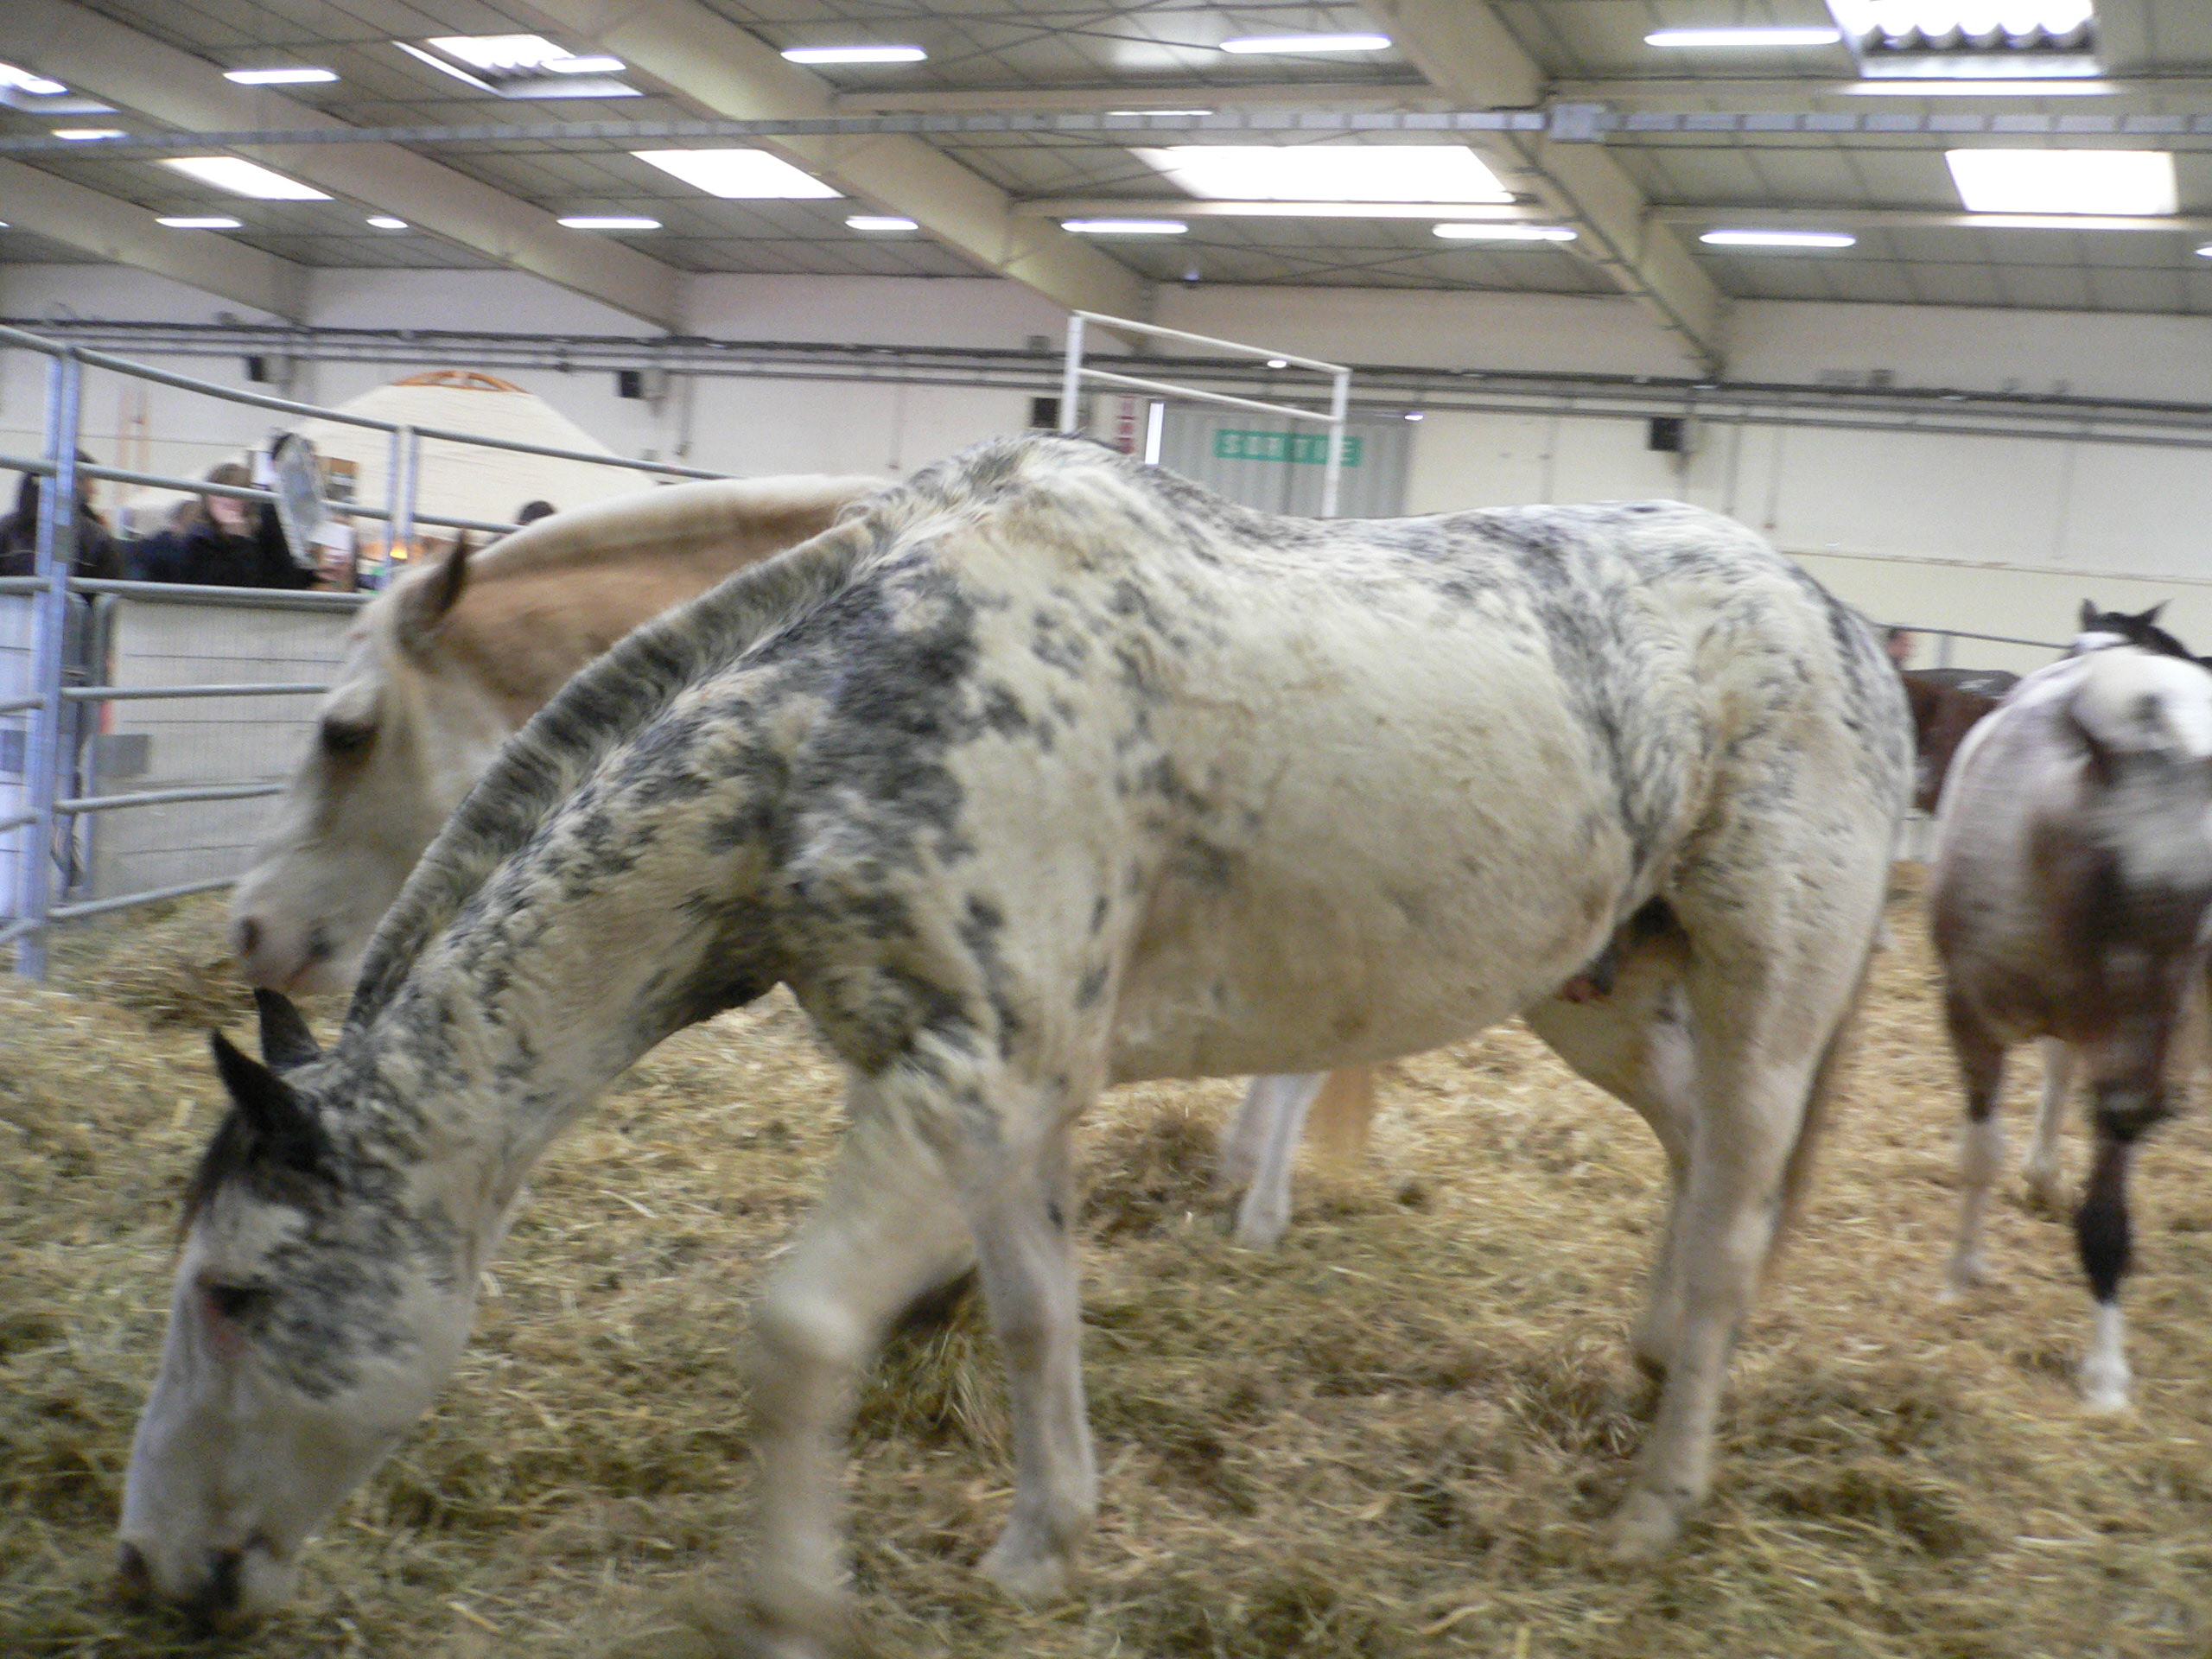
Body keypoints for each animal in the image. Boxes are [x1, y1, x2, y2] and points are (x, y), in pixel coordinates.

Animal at [121, 435, 1910, 1654]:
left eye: (234, 1295)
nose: (147, 1569)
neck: (831, 728)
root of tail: (1842, 624)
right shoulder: (1004, 1097)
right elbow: (1040, 1313)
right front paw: (1047, 1546)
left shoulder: (960, 1082)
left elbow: (800, 1335)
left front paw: (791, 1605)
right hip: (1593, 987)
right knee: (1692, 1153)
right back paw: (1656, 1360)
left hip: (1766, 991)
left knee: (1740, 1203)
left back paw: (1656, 1502)